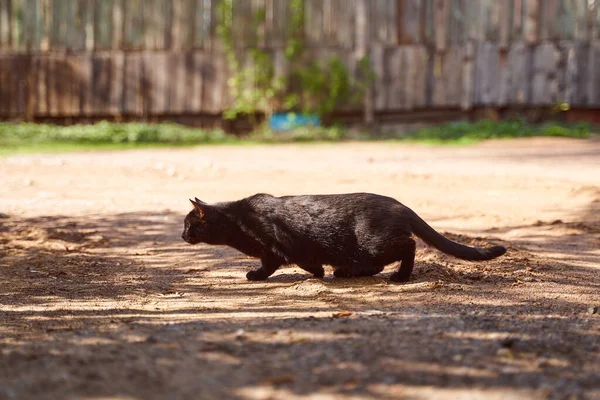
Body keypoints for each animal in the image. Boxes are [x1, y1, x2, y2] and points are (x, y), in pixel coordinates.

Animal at [179, 193, 506, 282]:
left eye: (188, 223)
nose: (181, 235)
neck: (238, 219)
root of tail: (401, 204)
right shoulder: (288, 249)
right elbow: (304, 262)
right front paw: (320, 272)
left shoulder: (276, 248)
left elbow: (274, 264)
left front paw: (255, 275)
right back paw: (346, 272)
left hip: (374, 243)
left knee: (409, 246)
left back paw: (400, 277)